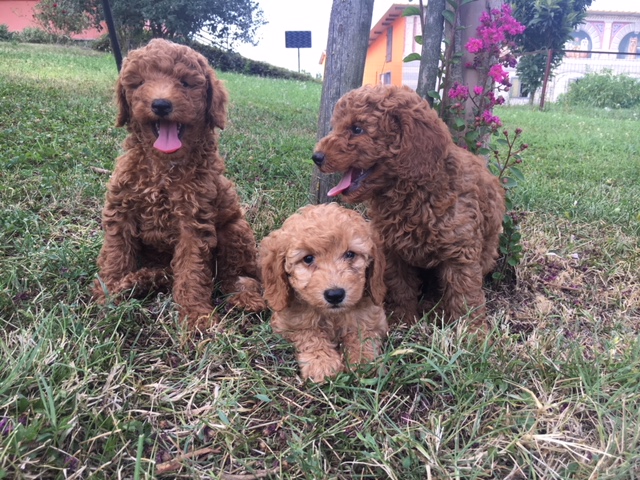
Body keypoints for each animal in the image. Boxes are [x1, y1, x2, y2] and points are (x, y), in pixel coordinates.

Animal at [92, 39, 264, 328]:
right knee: (165, 273)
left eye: (185, 83)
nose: (161, 104)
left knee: (233, 274)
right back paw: (139, 282)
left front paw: (195, 315)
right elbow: (116, 254)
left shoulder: (193, 222)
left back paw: (245, 297)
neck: (163, 168)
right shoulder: (121, 211)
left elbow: (192, 269)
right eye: (139, 83)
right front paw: (108, 291)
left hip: (236, 229)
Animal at [258, 202, 388, 382]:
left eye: (350, 254)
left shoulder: (375, 317)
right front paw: (322, 362)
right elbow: (309, 333)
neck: (333, 316)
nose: (335, 295)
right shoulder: (288, 323)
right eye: (308, 258)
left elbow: (363, 331)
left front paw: (362, 359)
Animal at [312, 84, 508, 330]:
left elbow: (464, 293)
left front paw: (473, 330)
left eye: (357, 129)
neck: (412, 194)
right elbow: (401, 287)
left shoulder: (460, 251)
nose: (316, 157)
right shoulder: (391, 249)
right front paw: (403, 319)